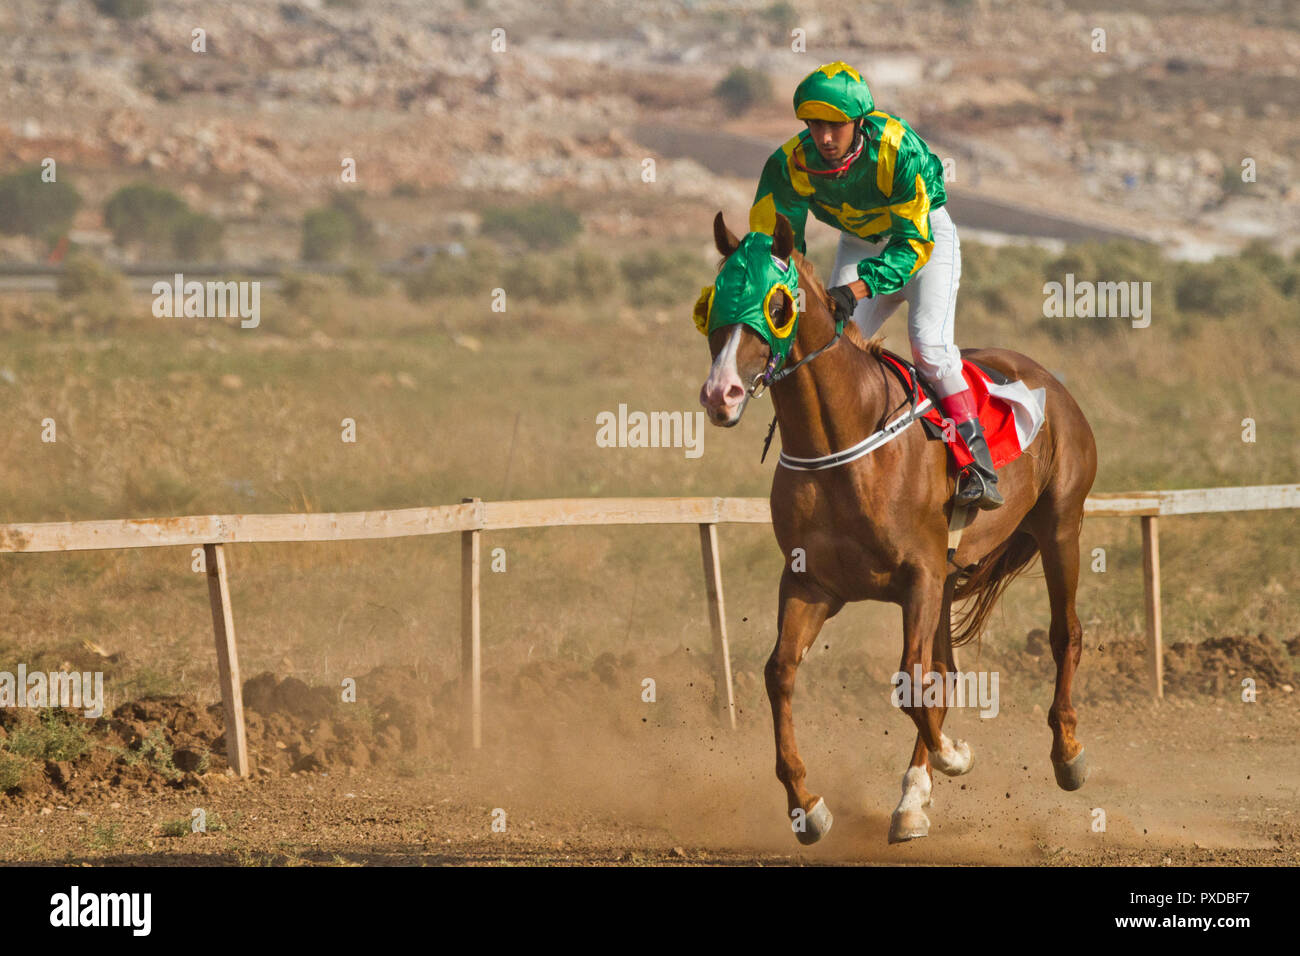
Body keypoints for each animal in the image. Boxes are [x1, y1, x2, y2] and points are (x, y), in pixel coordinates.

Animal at [696, 211, 1098, 844]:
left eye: (777, 305)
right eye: (712, 302)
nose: (721, 394)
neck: (841, 445)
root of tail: (1048, 383)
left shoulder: (920, 576)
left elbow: (911, 679)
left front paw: (955, 755)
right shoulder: (812, 583)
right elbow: (780, 672)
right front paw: (807, 805)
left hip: (1060, 526)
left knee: (1065, 635)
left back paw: (1067, 754)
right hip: (956, 575)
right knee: (945, 670)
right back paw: (912, 799)